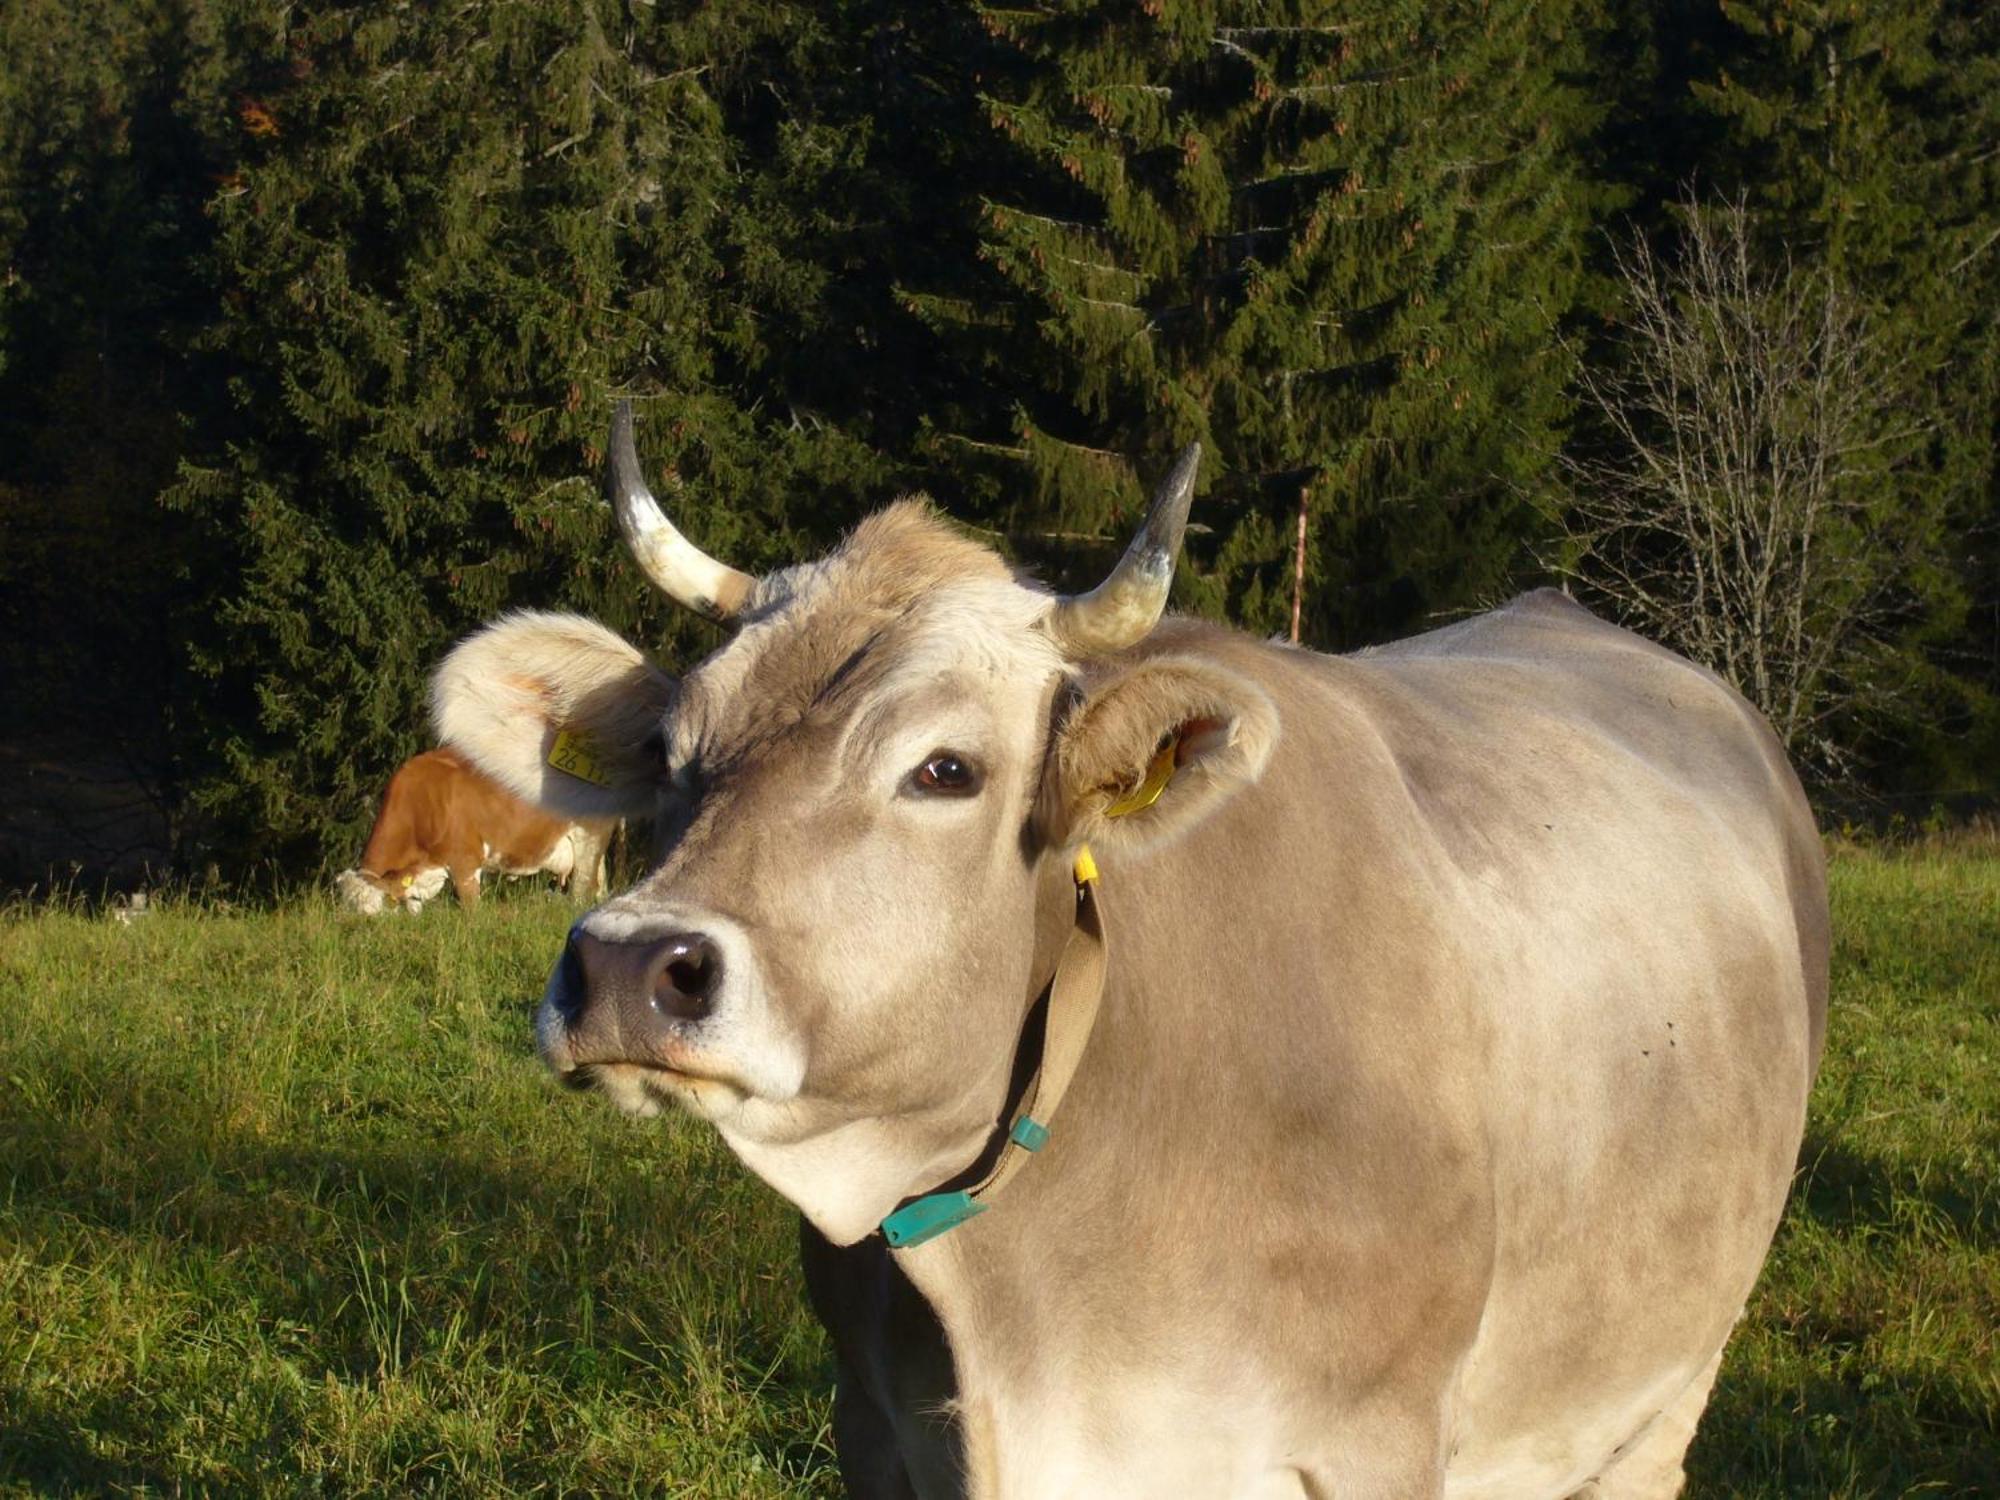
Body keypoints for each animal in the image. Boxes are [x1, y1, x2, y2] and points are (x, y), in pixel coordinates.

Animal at [426, 406, 1832, 1496]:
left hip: (1669, 1372)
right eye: (672, 754)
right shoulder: (873, 1430)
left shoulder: (1376, 1442)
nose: (628, 967)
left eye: (945, 768)